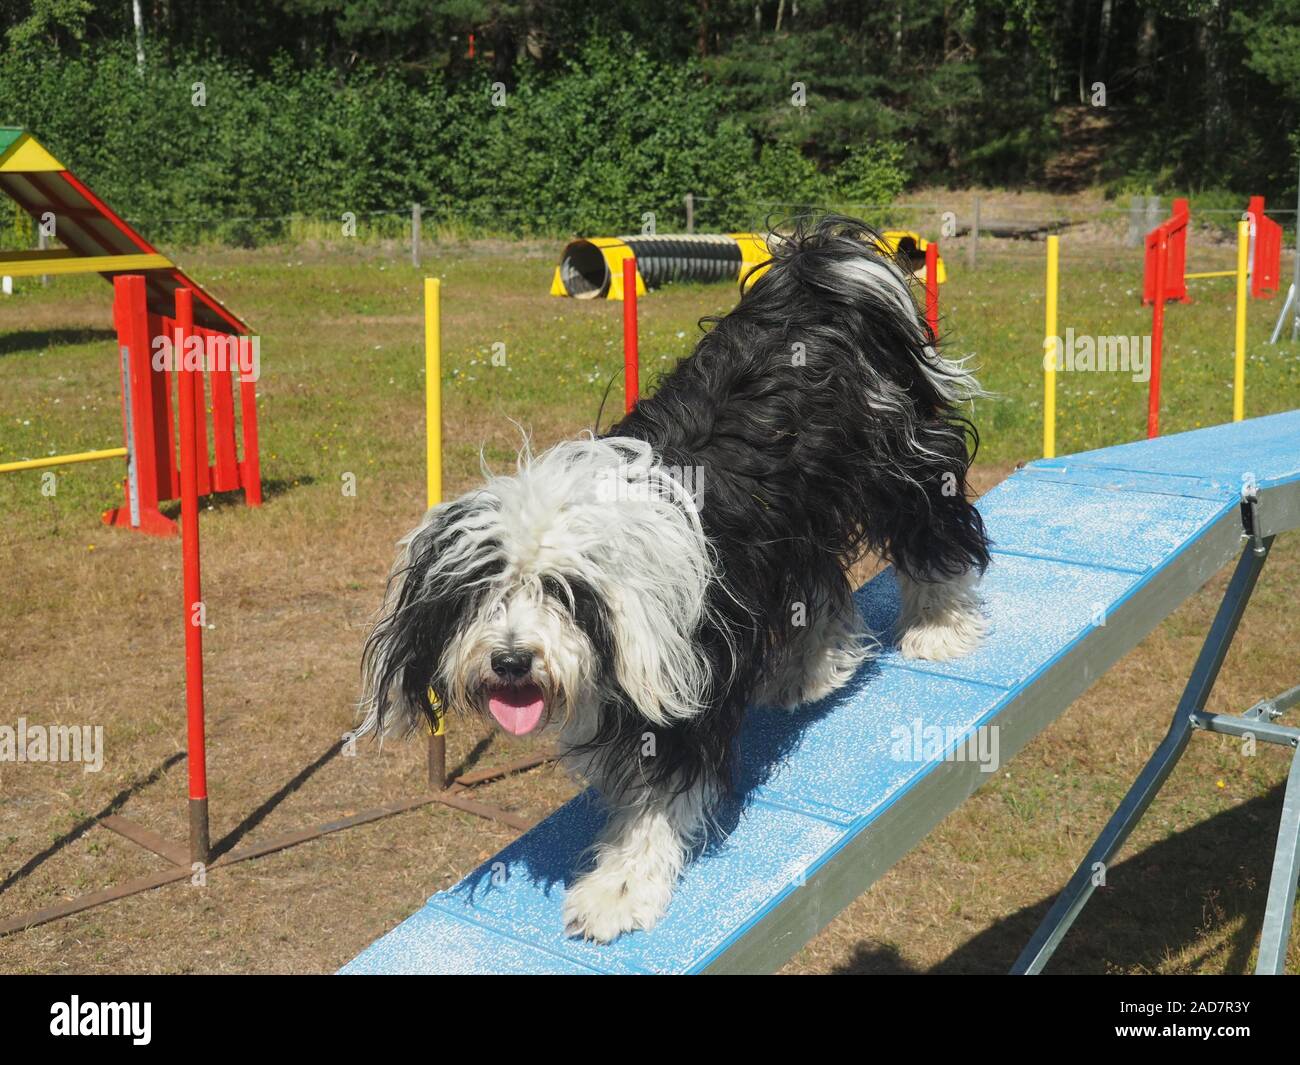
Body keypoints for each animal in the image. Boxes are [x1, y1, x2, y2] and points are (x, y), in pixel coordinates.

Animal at [361, 214, 987, 941]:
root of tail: (809, 283)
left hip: (897, 461)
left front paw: (620, 889)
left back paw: (939, 624)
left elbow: (661, 790)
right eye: (479, 595)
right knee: (820, 584)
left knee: (933, 526)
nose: (512, 661)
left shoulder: (686, 670)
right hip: (797, 523)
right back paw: (813, 668)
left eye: (563, 593)